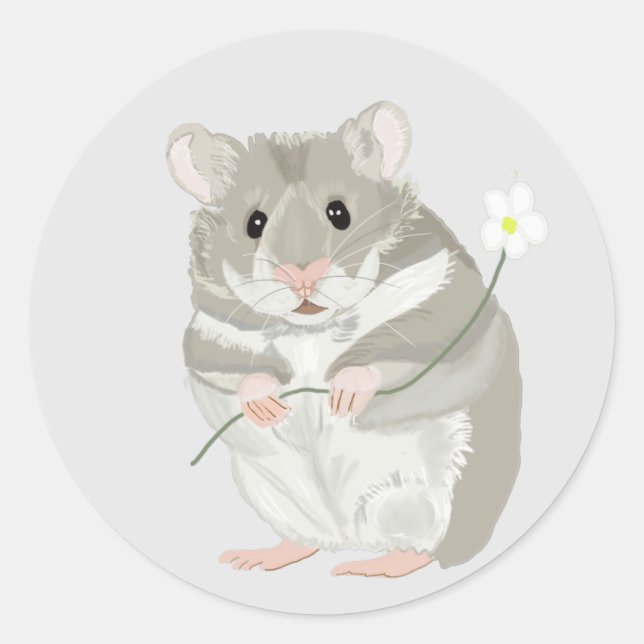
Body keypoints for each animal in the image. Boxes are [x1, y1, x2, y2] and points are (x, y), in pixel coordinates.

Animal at [167, 101, 522, 577]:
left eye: (339, 214)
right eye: (254, 223)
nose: (301, 279)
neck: (310, 328)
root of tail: (350, 538)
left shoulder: (443, 303)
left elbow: (394, 352)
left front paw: (341, 399)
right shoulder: (211, 332)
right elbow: (238, 370)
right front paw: (269, 407)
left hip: (436, 495)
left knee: (421, 549)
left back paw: (370, 568)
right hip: (272, 497)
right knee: (303, 541)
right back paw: (252, 559)